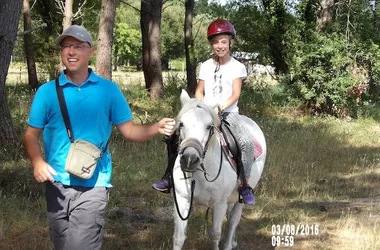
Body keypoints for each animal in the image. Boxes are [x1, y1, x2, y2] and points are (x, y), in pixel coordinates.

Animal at [172, 90, 268, 250]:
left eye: (208, 126)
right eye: (181, 124)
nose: (189, 159)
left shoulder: (219, 203)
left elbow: (215, 234)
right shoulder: (182, 200)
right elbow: (179, 238)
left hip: (240, 197)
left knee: (233, 219)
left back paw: (229, 244)